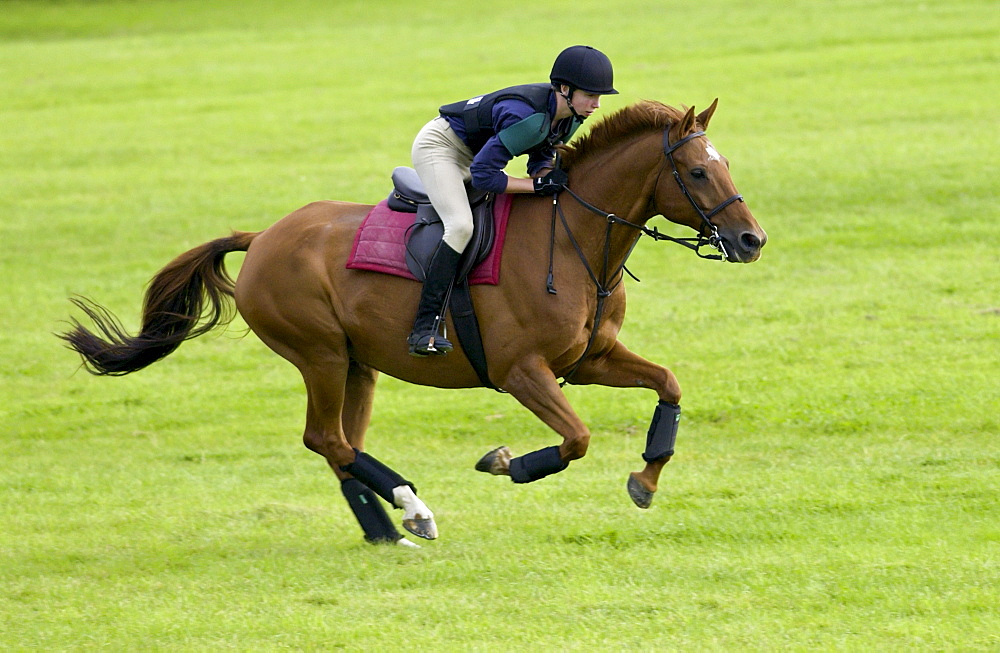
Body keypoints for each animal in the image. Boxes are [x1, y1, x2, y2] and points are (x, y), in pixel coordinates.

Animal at [60, 98, 764, 544]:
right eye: (697, 171)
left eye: (726, 164)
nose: (751, 240)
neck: (574, 241)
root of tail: (261, 238)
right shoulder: (521, 372)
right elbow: (576, 439)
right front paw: (505, 462)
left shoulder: (588, 360)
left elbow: (668, 385)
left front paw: (645, 479)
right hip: (318, 354)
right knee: (329, 440)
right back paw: (413, 509)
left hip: (355, 365)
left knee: (341, 447)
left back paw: (386, 530)